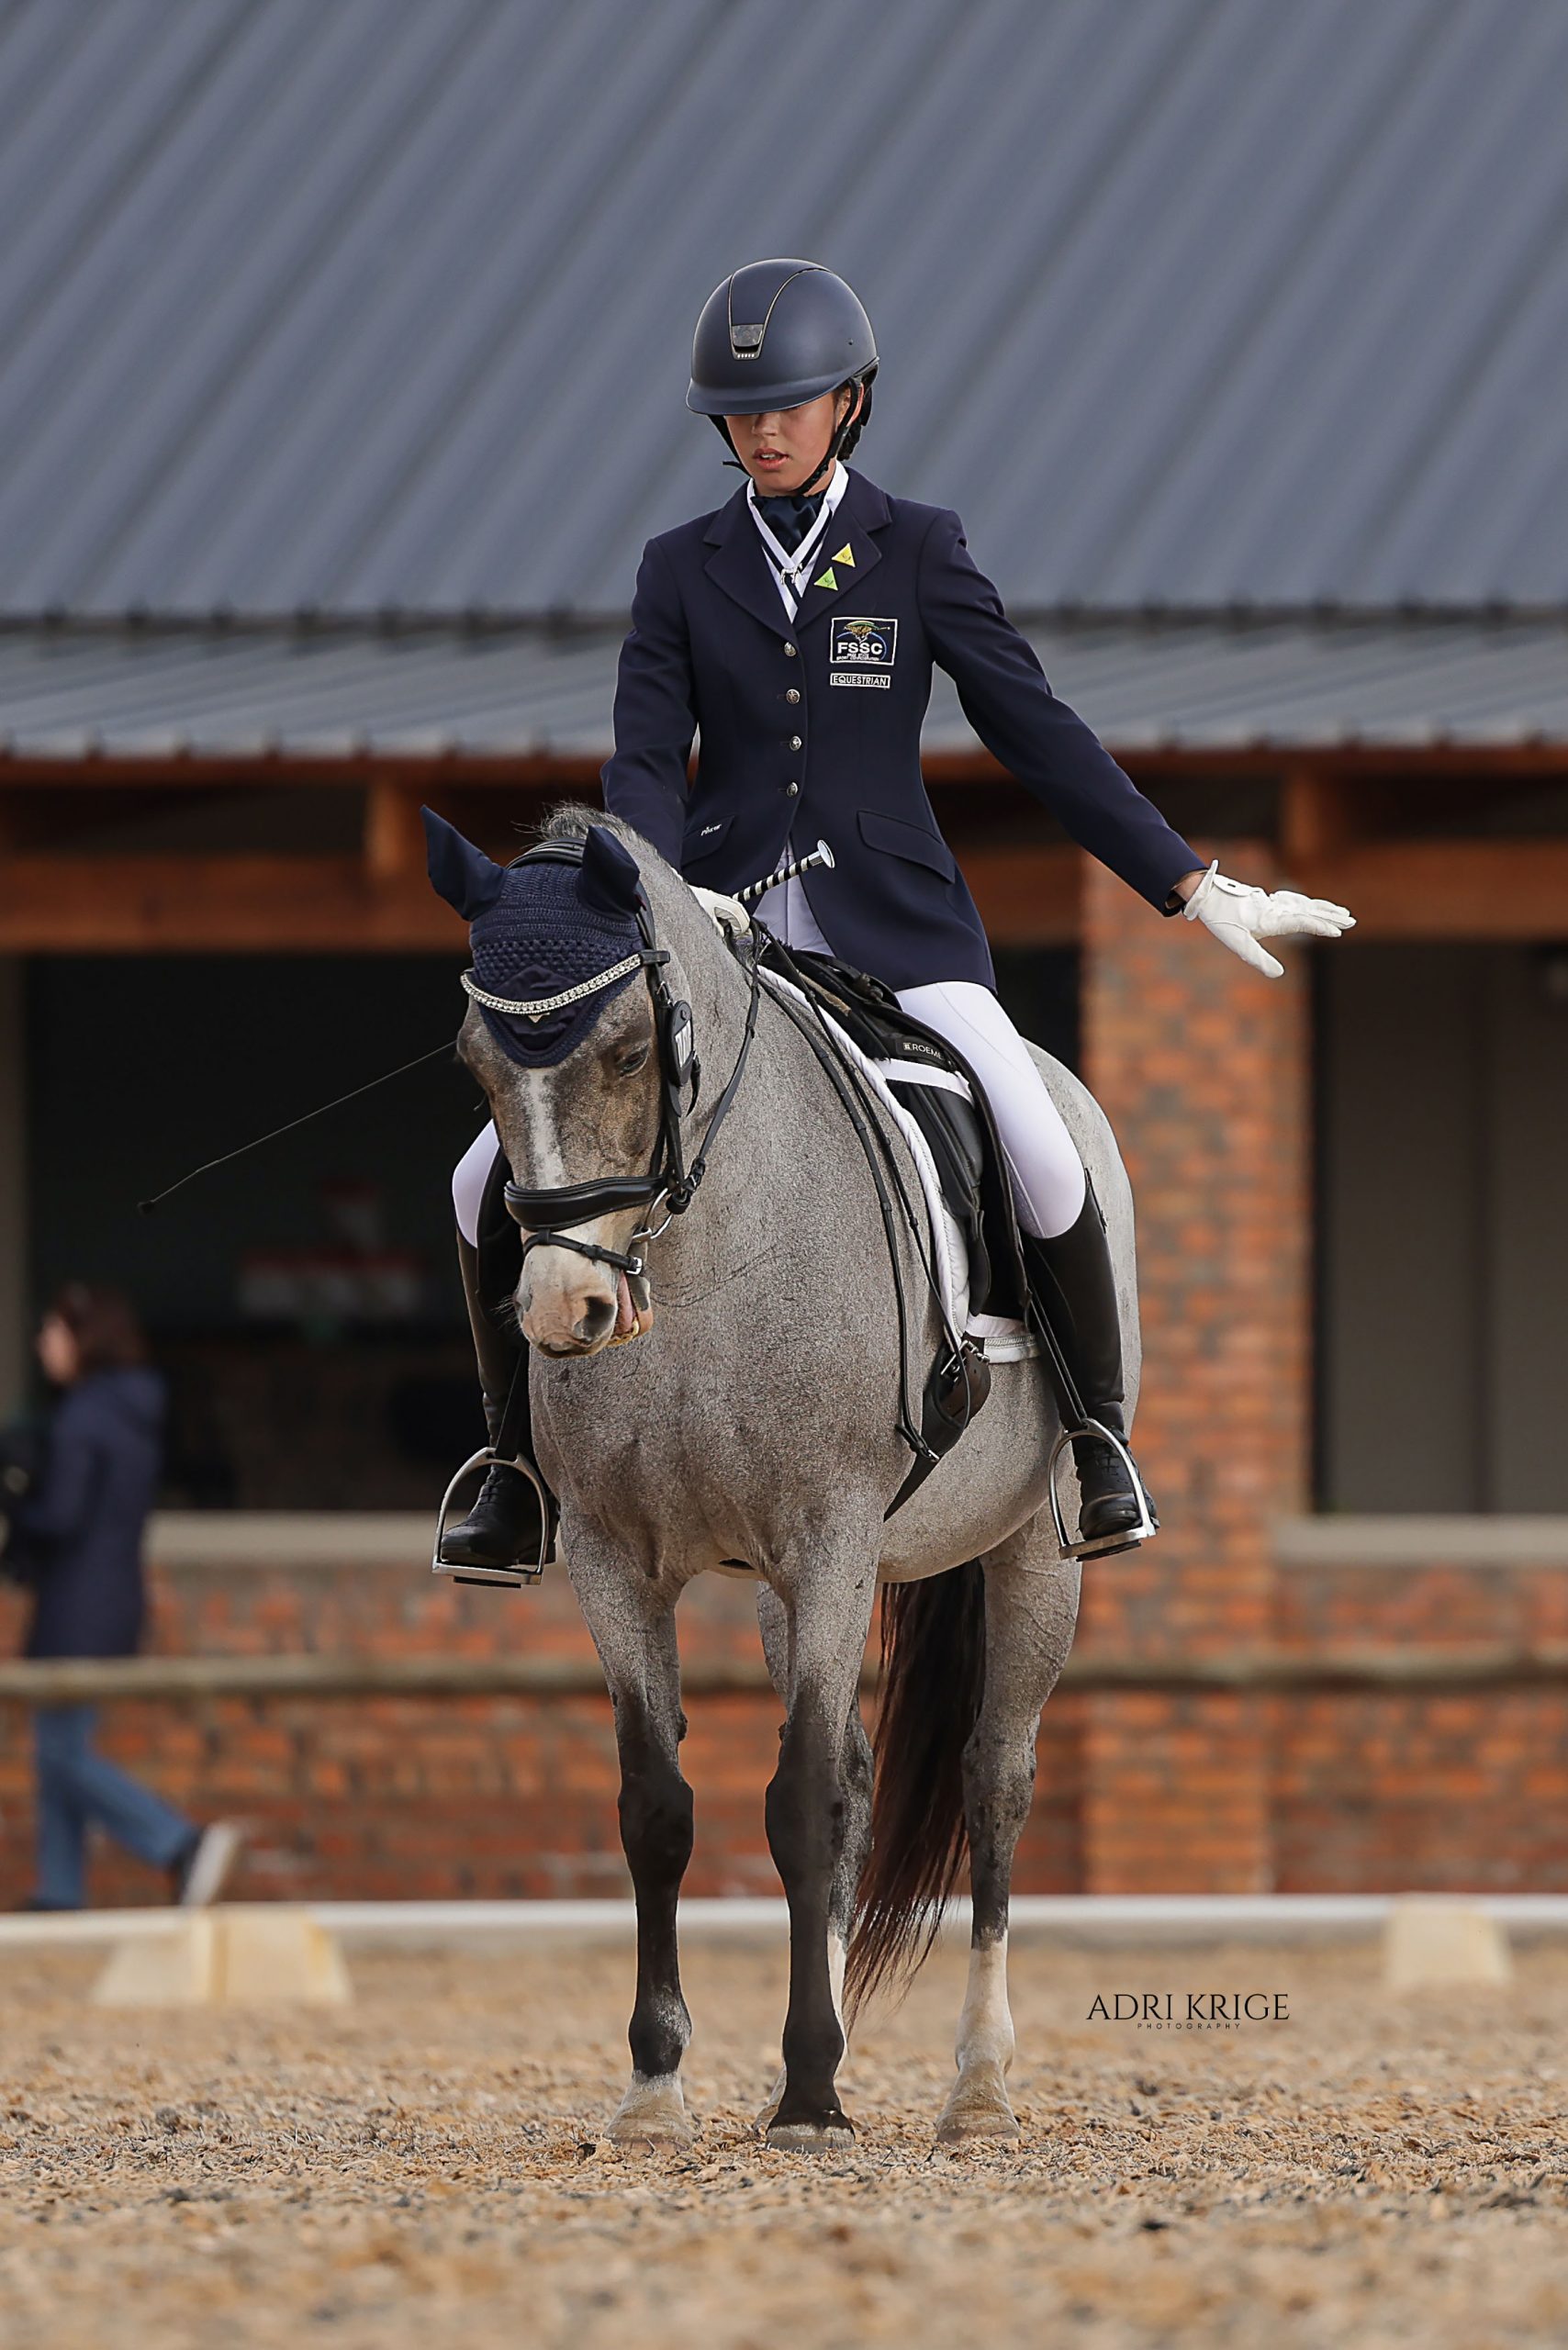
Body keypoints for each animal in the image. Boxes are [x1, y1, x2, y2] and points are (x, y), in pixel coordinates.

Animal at [438, 803, 1140, 2151]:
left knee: (994, 1781)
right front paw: (657, 2085)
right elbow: (658, 1808)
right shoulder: (613, 1561)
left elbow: (802, 1800)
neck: (703, 1255)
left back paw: (978, 2082)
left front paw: (811, 2092)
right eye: (474, 1066)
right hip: (776, 1590)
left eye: (626, 1053)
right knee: (868, 1780)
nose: (562, 1311)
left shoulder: (828, 1542)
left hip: (1029, 1551)